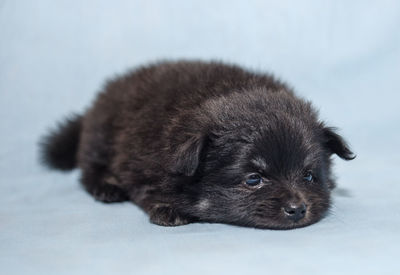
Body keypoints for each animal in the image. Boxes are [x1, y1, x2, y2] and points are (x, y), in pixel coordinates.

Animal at [39, 61, 354, 230]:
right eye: (254, 179)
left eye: (309, 176)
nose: (298, 209)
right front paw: (168, 209)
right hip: (101, 137)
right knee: (89, 167)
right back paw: (106, 186)